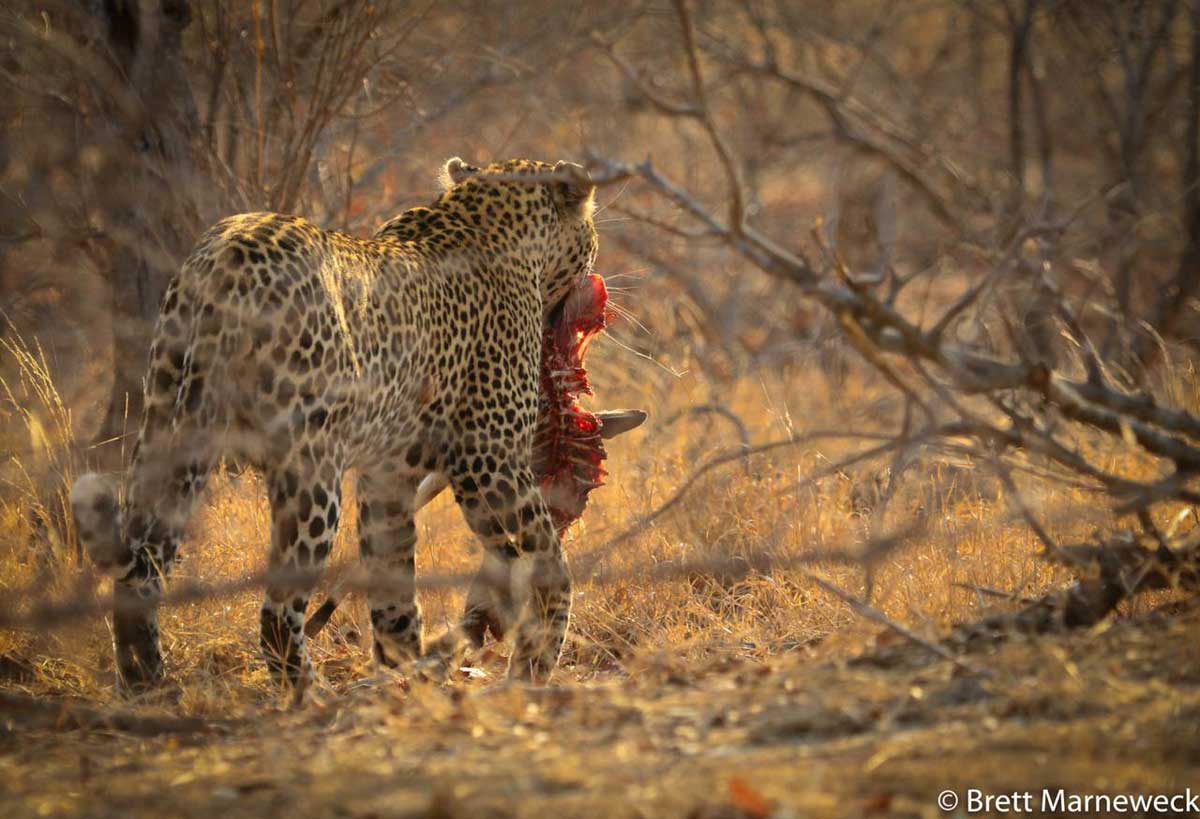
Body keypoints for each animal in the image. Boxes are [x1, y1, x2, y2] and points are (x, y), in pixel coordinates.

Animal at [70, 157, 629, 694]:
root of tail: (228, 256)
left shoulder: (390, 476)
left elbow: (394, 585)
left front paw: (407, 678)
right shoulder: (489, 463)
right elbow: (546, 560)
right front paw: (538, 656)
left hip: (171, 422)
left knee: (143, 572)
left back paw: (149, 689)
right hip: (310, 468)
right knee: (277, 611)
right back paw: (314, 698)